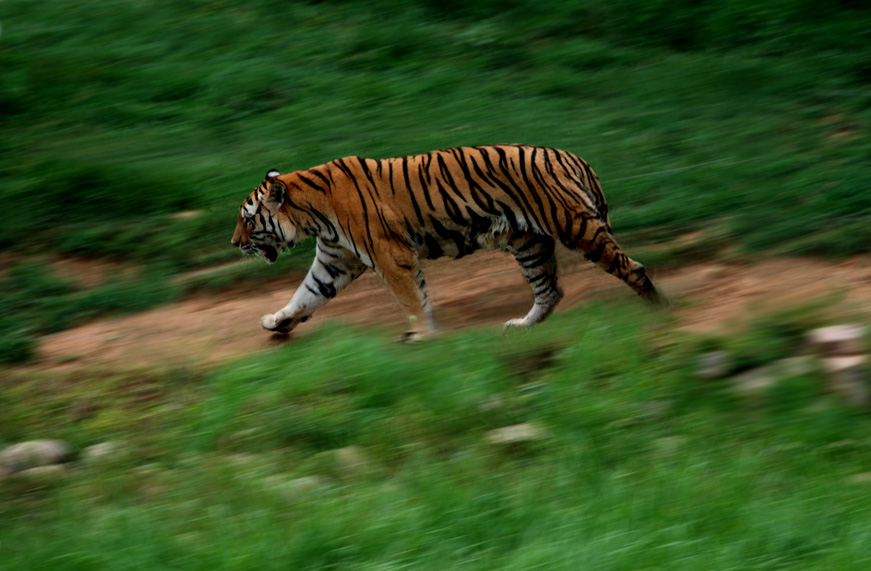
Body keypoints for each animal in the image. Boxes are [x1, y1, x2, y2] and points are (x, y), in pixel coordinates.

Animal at [232, 144, 660, 340]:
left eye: (248, 219)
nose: (235, 243)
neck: (311, 214)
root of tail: (573, 157)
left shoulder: (391, 255)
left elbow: (411, 298)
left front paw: (422, 335)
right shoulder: (335, 261)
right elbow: (306, 295)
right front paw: (278, 322)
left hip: (576, 227)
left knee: (632, 268)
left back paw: (659, 310)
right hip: (530, 244)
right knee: (549, 290)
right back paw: (520, 325)